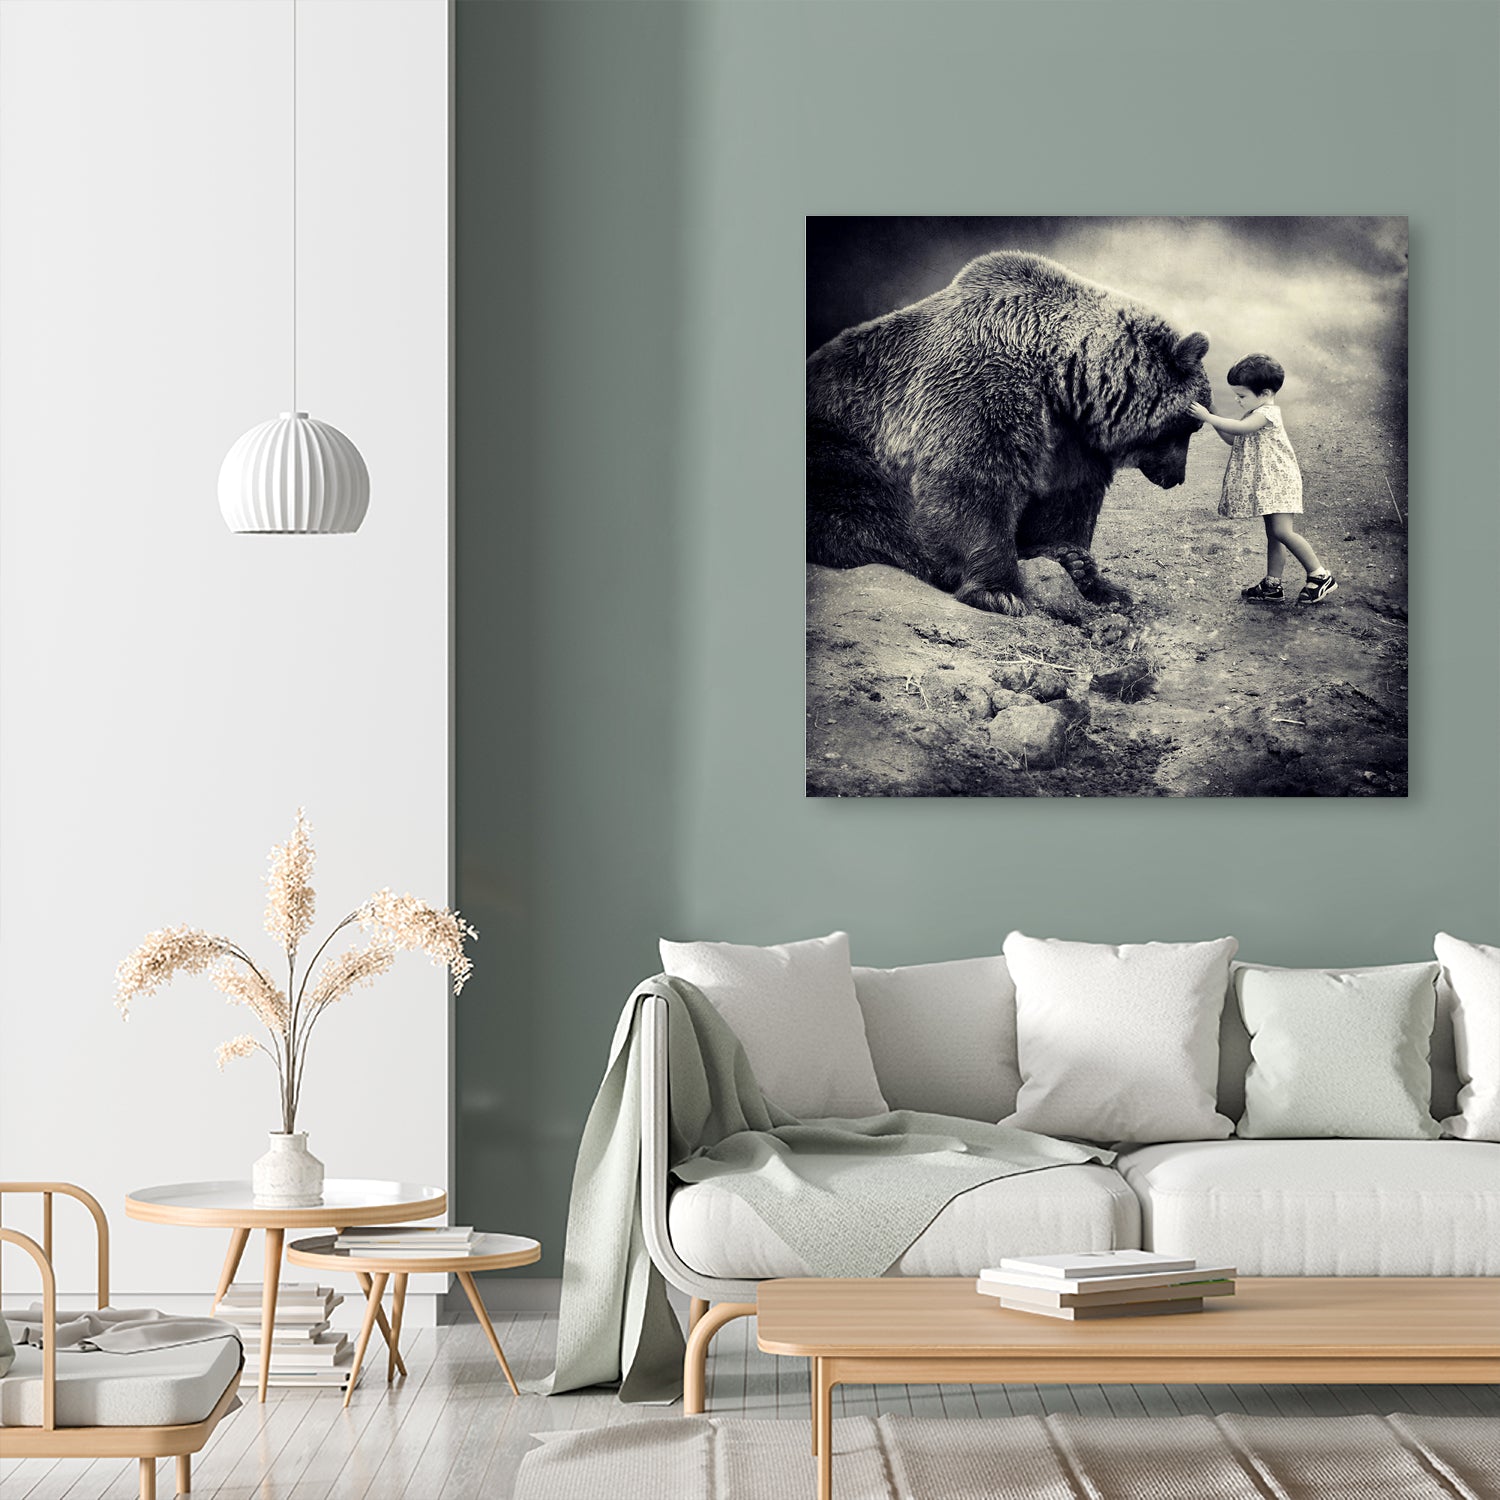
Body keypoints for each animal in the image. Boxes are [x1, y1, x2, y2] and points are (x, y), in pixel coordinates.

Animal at [807, 250, 1212, 615]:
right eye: (1192, 425)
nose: (1176, 477)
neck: (1060, 376)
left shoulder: (1069, 437)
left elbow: (1068, 500)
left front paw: (1090, 574)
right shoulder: (979, 387)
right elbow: (974, 482)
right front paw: (1001, 592)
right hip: (841, 440)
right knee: (867, 510)